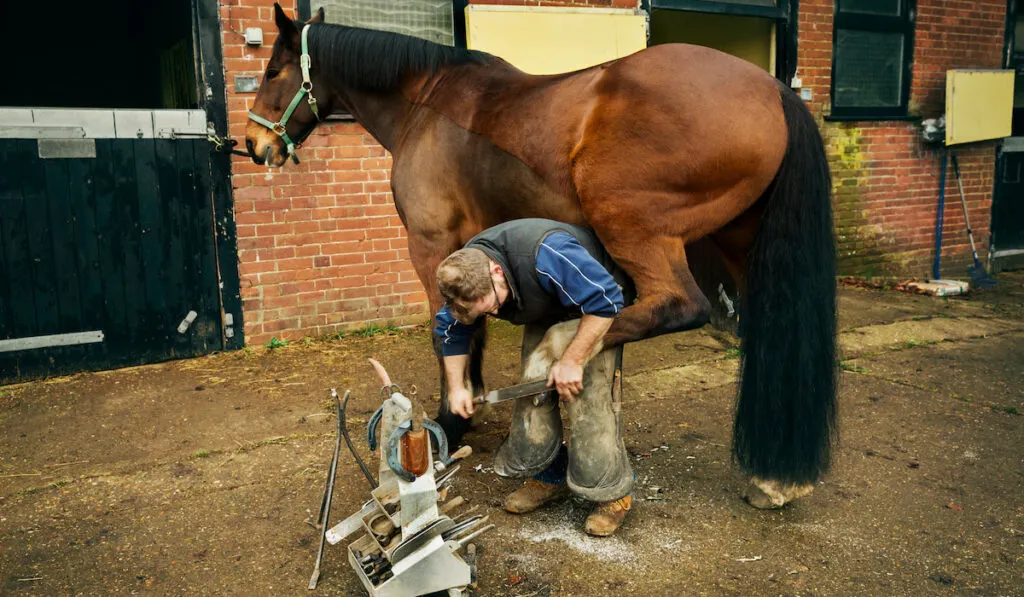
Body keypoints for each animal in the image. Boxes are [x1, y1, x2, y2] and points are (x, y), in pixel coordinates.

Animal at [249, 5, 839, 509]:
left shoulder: (431, 246)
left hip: (631, 224)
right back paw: (774, 480)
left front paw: (451, 418)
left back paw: (560, 351)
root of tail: (774, 92)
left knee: (674, 305)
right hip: (740, 243)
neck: (427, 106)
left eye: (274, 70)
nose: (255, 145)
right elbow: (471, 332)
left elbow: (451, 333)